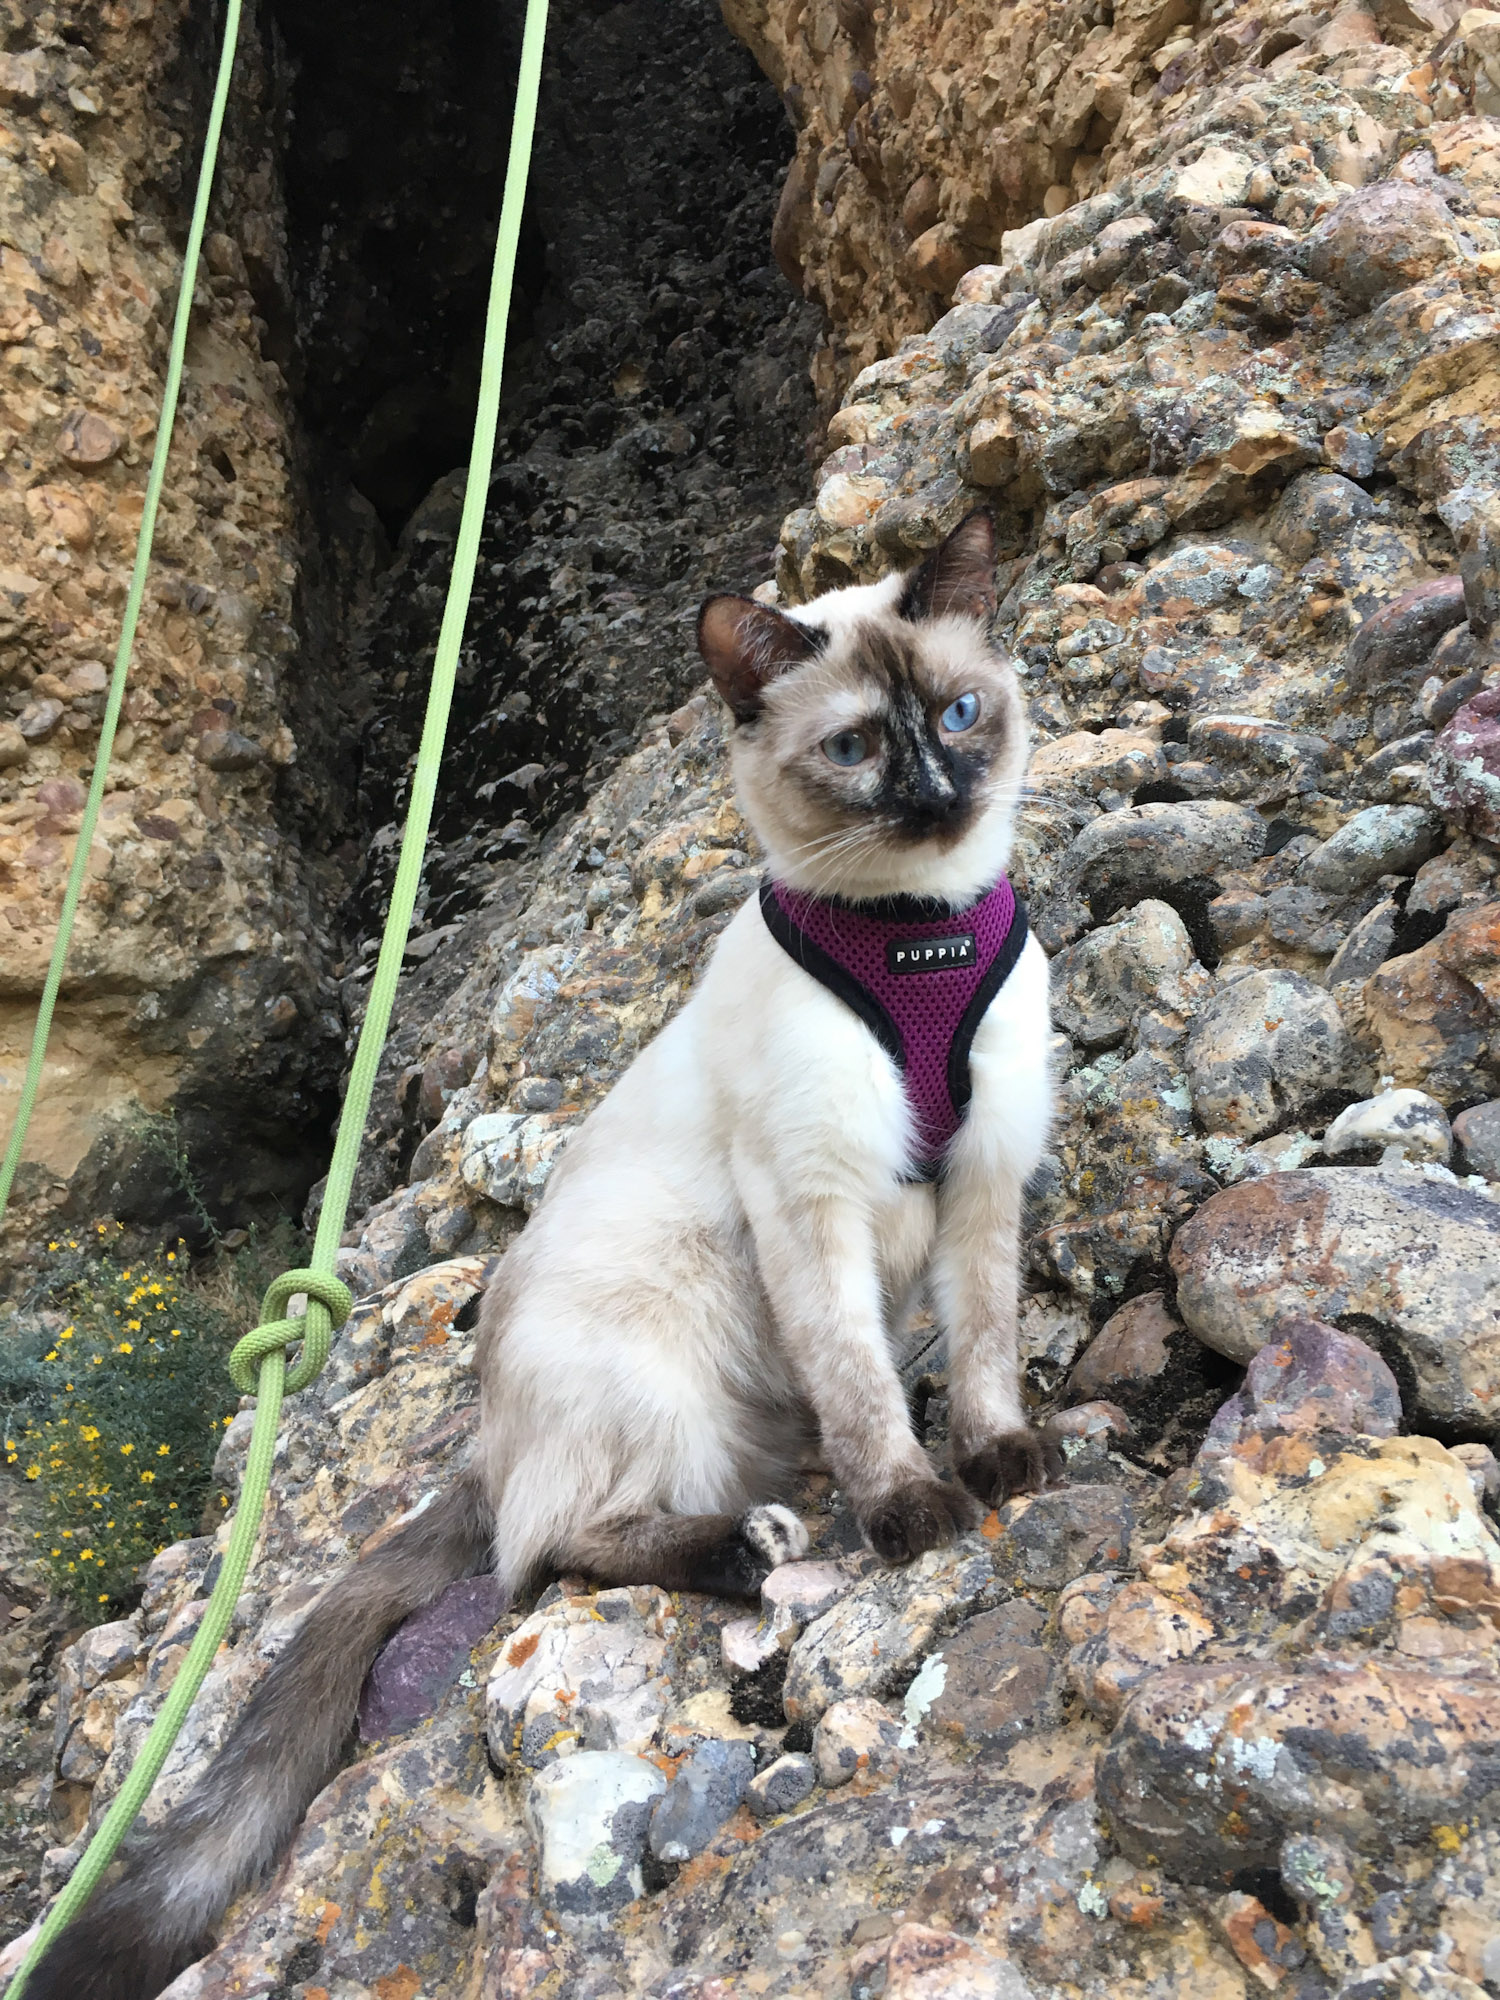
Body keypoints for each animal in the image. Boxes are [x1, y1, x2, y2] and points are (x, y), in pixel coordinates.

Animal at [23, 504, 1056, 2000]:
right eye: (860, 746)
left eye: (963, 714)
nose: (933, 794)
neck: (918, 936)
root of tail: (487, 1429)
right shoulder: (811, 1207)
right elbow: (869, 1397)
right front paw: (916, 1510)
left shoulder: (985, 1177)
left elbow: (983, 1350)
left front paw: (997, 1461)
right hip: (657, 1344)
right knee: (551, 1548)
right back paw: (755, 1545)